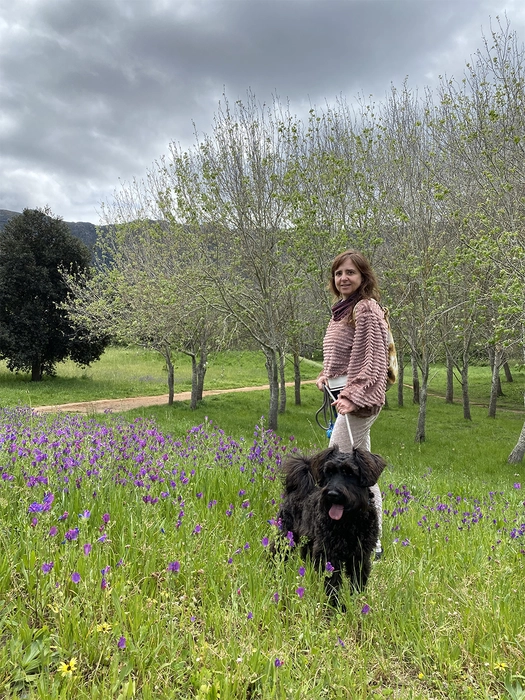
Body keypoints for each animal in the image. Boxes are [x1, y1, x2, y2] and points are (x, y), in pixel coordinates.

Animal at [274, 446, 384, 600]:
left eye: (350, 473)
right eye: (329, 472)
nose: (332, 494)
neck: (349, 522)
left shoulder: (360, 555)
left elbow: (358, 578)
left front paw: (357, 598)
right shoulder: (329, 555)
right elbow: (333, 582)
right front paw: (334, 602)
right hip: (285, 536)